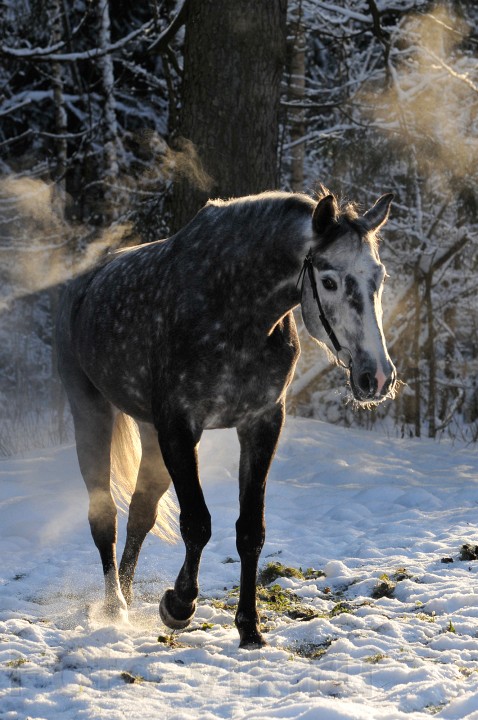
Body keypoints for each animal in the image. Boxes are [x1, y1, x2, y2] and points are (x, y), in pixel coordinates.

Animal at [57, 190, 396, 648]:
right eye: (328, 281)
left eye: (379, 277)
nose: (376, 377)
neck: (233, 308)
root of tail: (84, 287)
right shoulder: (180, 427)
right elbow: (197, 523)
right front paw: (178, 605)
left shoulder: (261, 424)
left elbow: (250, 531)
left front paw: (250, 627)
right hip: (91, 413)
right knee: (104, 515)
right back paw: (114, 607)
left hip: (150, 433)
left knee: (141, 512)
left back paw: (127, 597)